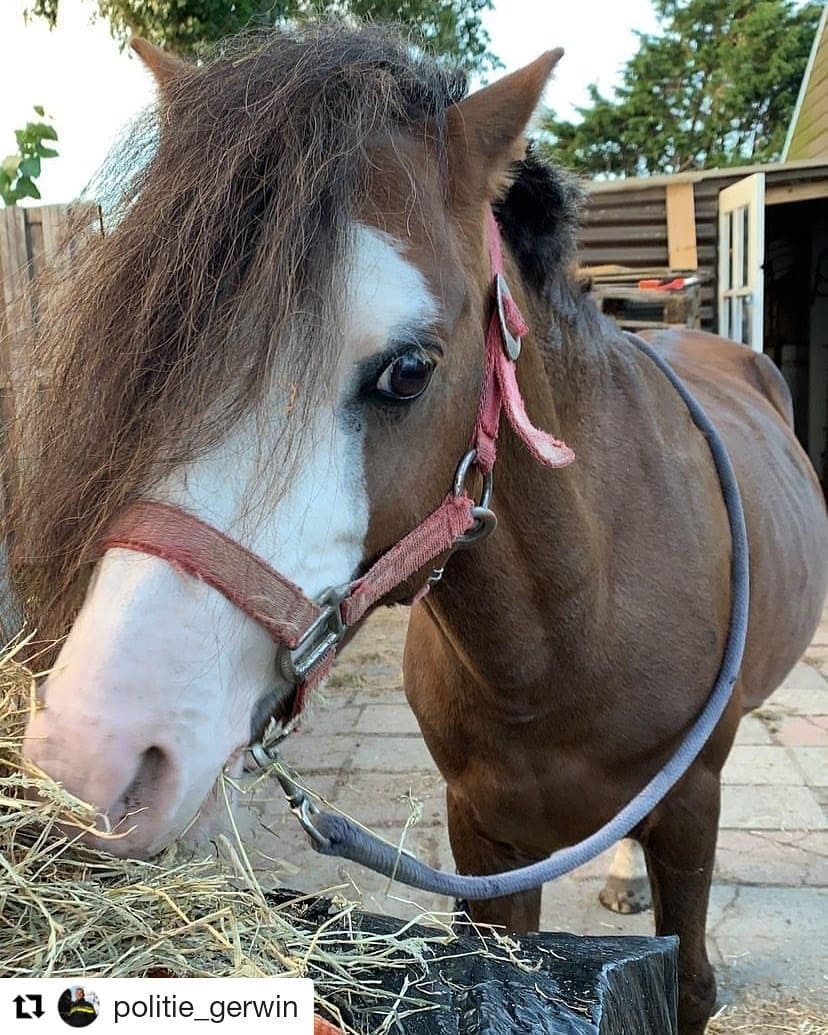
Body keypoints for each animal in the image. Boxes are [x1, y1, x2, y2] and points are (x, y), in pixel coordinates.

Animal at [11, 25, 827, 1035]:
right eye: (167, 341)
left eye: (407, 370)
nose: (90, 756)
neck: (571, 640)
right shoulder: (483, 838)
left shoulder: (691, 812)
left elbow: (691, 981)